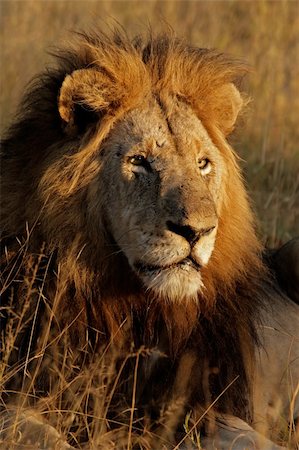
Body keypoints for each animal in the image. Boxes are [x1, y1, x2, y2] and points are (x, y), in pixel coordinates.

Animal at [0, 29, 298, 448]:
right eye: (139, 161)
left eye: (203, 164)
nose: (198, 231)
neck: (137, 310)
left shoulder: (202, 407)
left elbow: (250, 437)